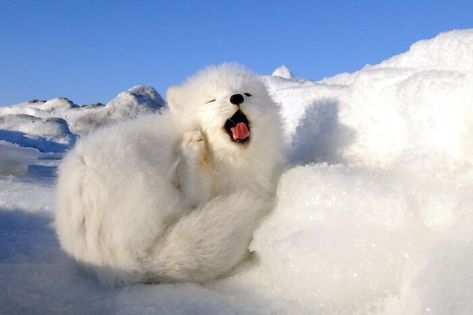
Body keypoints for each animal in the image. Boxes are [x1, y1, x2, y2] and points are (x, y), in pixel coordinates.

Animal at [55, 63, 284, 284]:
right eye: (211, 100)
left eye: (247, 94)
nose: (236, 97)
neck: (226, 158)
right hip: (146, 182)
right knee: (191, 201)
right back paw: (191, 150)